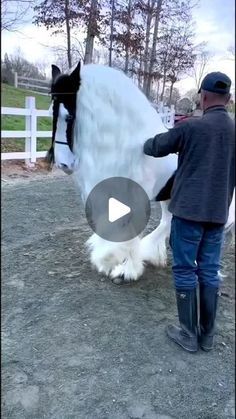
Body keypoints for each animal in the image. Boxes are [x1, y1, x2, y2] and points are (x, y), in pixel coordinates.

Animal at [48, 61, 235, 282]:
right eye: (50, 111)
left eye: (69, 116)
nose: (63, 164)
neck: (134, 147)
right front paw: (109, 260)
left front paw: (125, 269)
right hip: (169, 198)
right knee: (167, 222)